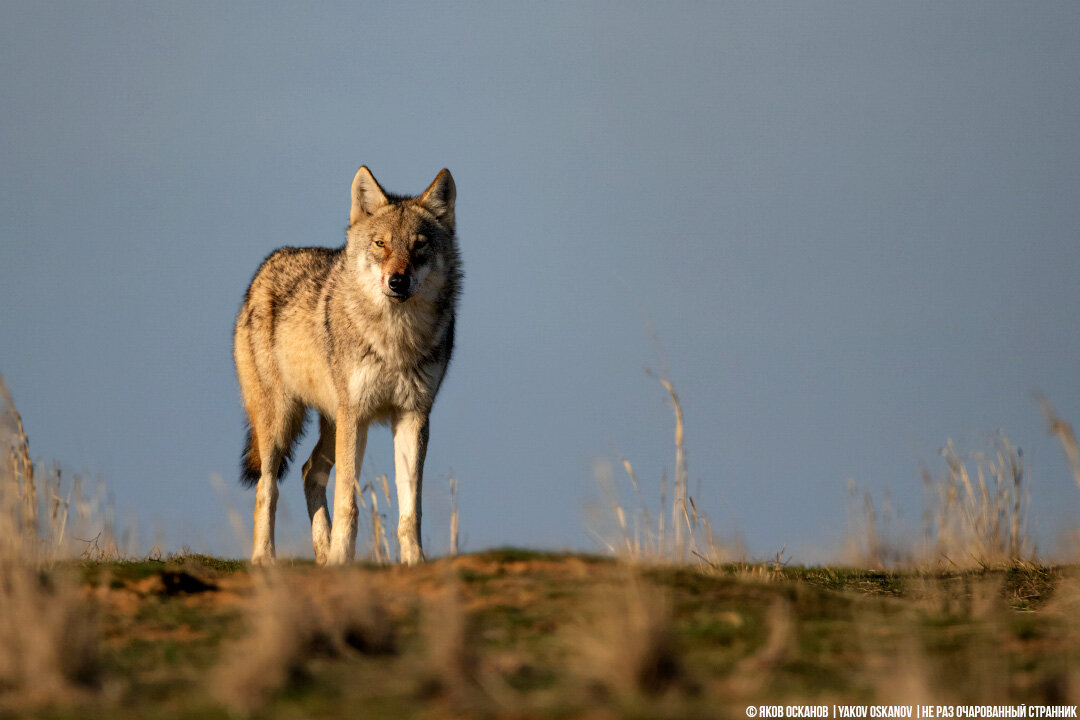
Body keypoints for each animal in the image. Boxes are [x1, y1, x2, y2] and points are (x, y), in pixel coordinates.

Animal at [233, 166, 460, 565]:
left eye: (419, 245)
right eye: (381, 244)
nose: (397, 281)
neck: (395, 338)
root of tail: (267, 264)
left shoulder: (413, 415)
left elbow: (410, 508)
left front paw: (413, 560)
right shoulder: (357, 414)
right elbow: (347, 501)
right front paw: (343, 558)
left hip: (331, 420)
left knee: (309, 471)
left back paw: (322, 555)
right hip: (282, 422)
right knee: (267, 487)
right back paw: (264, 558)